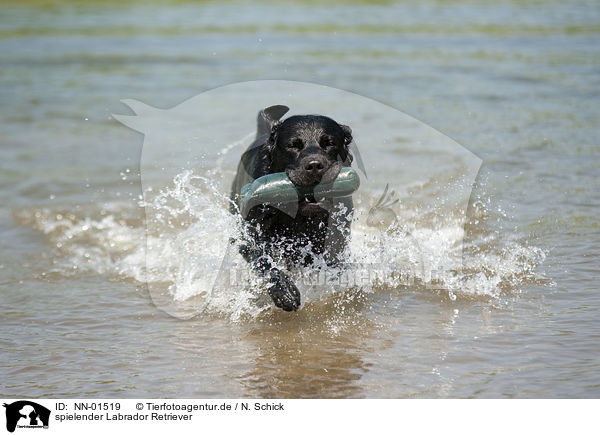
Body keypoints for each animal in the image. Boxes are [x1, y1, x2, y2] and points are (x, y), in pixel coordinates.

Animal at [229, 105, 352, 310]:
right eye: (293, 145)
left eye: (329, 143)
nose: (315, 165)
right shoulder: (249, 238)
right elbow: (264, 262)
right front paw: (285, 292)